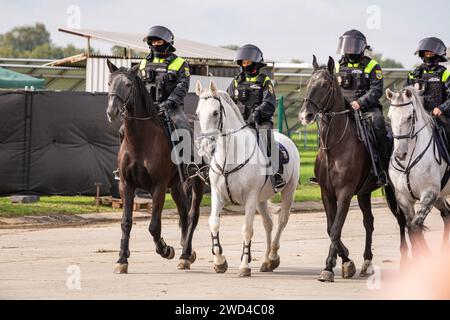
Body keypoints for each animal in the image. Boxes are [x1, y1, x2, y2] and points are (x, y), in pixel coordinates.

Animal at [105, 60, 204, 272]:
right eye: (109, 83)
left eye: (128, 85)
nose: (112, 111)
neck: (141, 140)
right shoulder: (126, 185)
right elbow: (126, 223)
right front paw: (122, 259)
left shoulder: (158, 187)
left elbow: (153, 226)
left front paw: (166, 249)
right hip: (176, 185)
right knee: (184, 213)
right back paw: (188, 251)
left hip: (198, 182)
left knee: (192, 215)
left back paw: (184, 255)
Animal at [194, 80, 298, 278]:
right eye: (197, 113)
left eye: (215, 112)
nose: (205, 146)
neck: (230, 156)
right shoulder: (217, 194)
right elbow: (214, 223)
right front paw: (219, 261)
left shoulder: (250, 197)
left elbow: (247, 230)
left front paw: (244, 265)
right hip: (261, 200)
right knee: (268, 224)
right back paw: (266, 261)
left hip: (288, 191)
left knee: (282, 221)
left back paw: (273, 256)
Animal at [298, 56, 408, 282]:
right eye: (309, 83)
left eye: (325, 85)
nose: (305, 115)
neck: (334, 146)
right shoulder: (326, 193)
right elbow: (330, 227)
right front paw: (346, 261)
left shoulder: (345, 193)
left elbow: (336, 228)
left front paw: (329, 267)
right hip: (364, 193)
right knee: (369, 222)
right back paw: (367, 262)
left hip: (393, 191)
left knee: (401, 219)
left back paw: (406, 259)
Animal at [386, 85, 450, 258]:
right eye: (390, 117)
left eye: (409, 117)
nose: (400, 154)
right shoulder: (404, 199)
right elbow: (411, 228)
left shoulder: (429, 194)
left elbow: (415, 227)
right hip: (439, 197)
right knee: (447, 214)